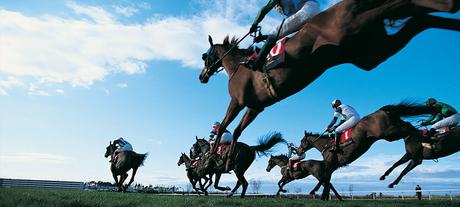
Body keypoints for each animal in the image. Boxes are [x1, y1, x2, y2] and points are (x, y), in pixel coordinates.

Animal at [296, 102, 436, 200]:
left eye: (301, 141)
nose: (298, 151)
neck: (325, 145)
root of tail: (381, 110)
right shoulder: (334, 165)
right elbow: (327, 179)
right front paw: (325, 197)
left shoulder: (330, 163)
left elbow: (324, 178)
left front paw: (315, 192)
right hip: (393, 129)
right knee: (408, 125)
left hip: (389, 132)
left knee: (408, 127)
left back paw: (426, 137)